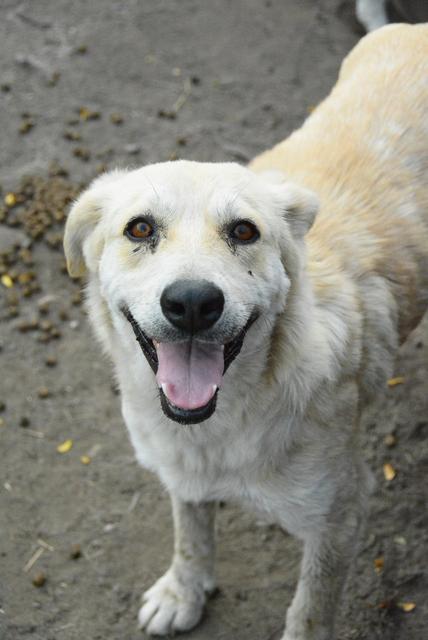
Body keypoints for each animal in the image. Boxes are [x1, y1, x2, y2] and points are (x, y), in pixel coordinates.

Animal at [63, 25, 428, 640]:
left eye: (243, 231)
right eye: (139, 228)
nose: (192, 303)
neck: (225, 425)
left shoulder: (341, 516)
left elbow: (309, 612)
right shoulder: (180, 470)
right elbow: (190, 533)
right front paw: (184, 591)